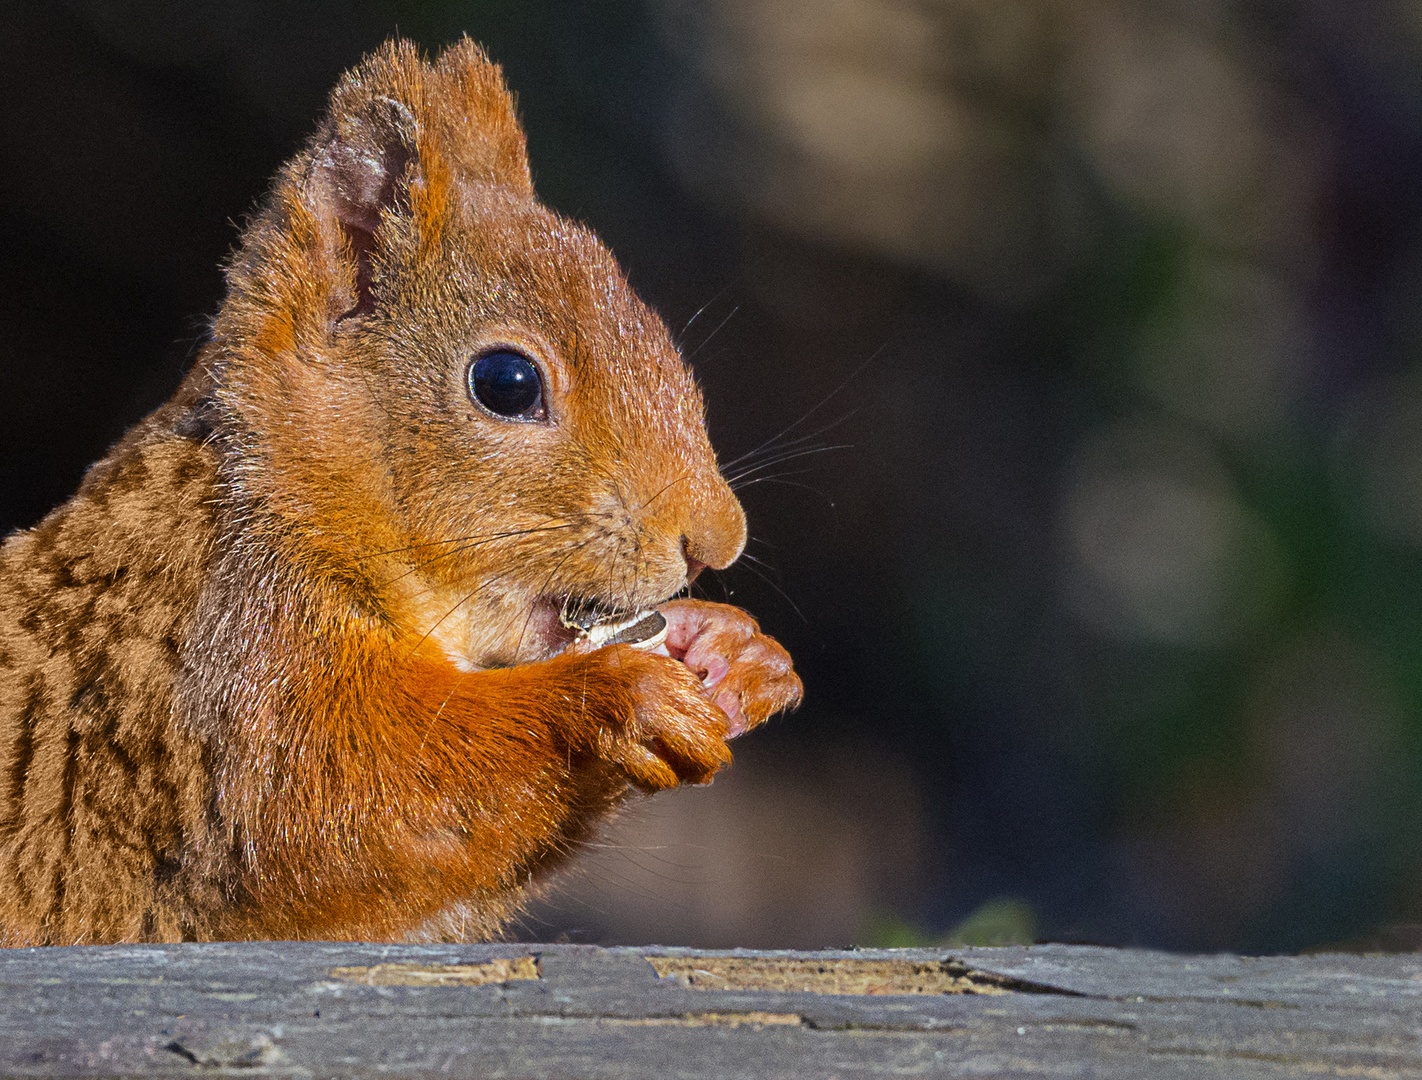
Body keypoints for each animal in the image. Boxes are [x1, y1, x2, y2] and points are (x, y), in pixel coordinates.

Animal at [0, 38, 802, 944]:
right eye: (506, 383)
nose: (717, 541)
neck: (291, 494)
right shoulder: (233, 644)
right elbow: (330, 807)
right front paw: (615, 697)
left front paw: (736, 651)